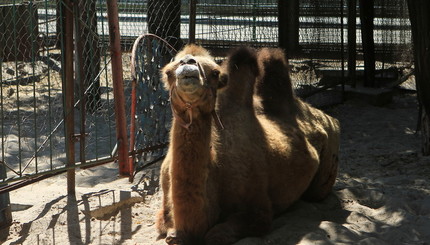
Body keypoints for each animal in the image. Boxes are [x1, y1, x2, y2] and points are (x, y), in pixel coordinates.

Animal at [156, 44, 340, 245]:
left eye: (214, 73)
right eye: (168, 72)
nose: (187, 64)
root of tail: (329, 118)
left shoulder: (258, 208)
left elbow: (217, 234)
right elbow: (169, 231)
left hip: (330, 154)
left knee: (317, 193)